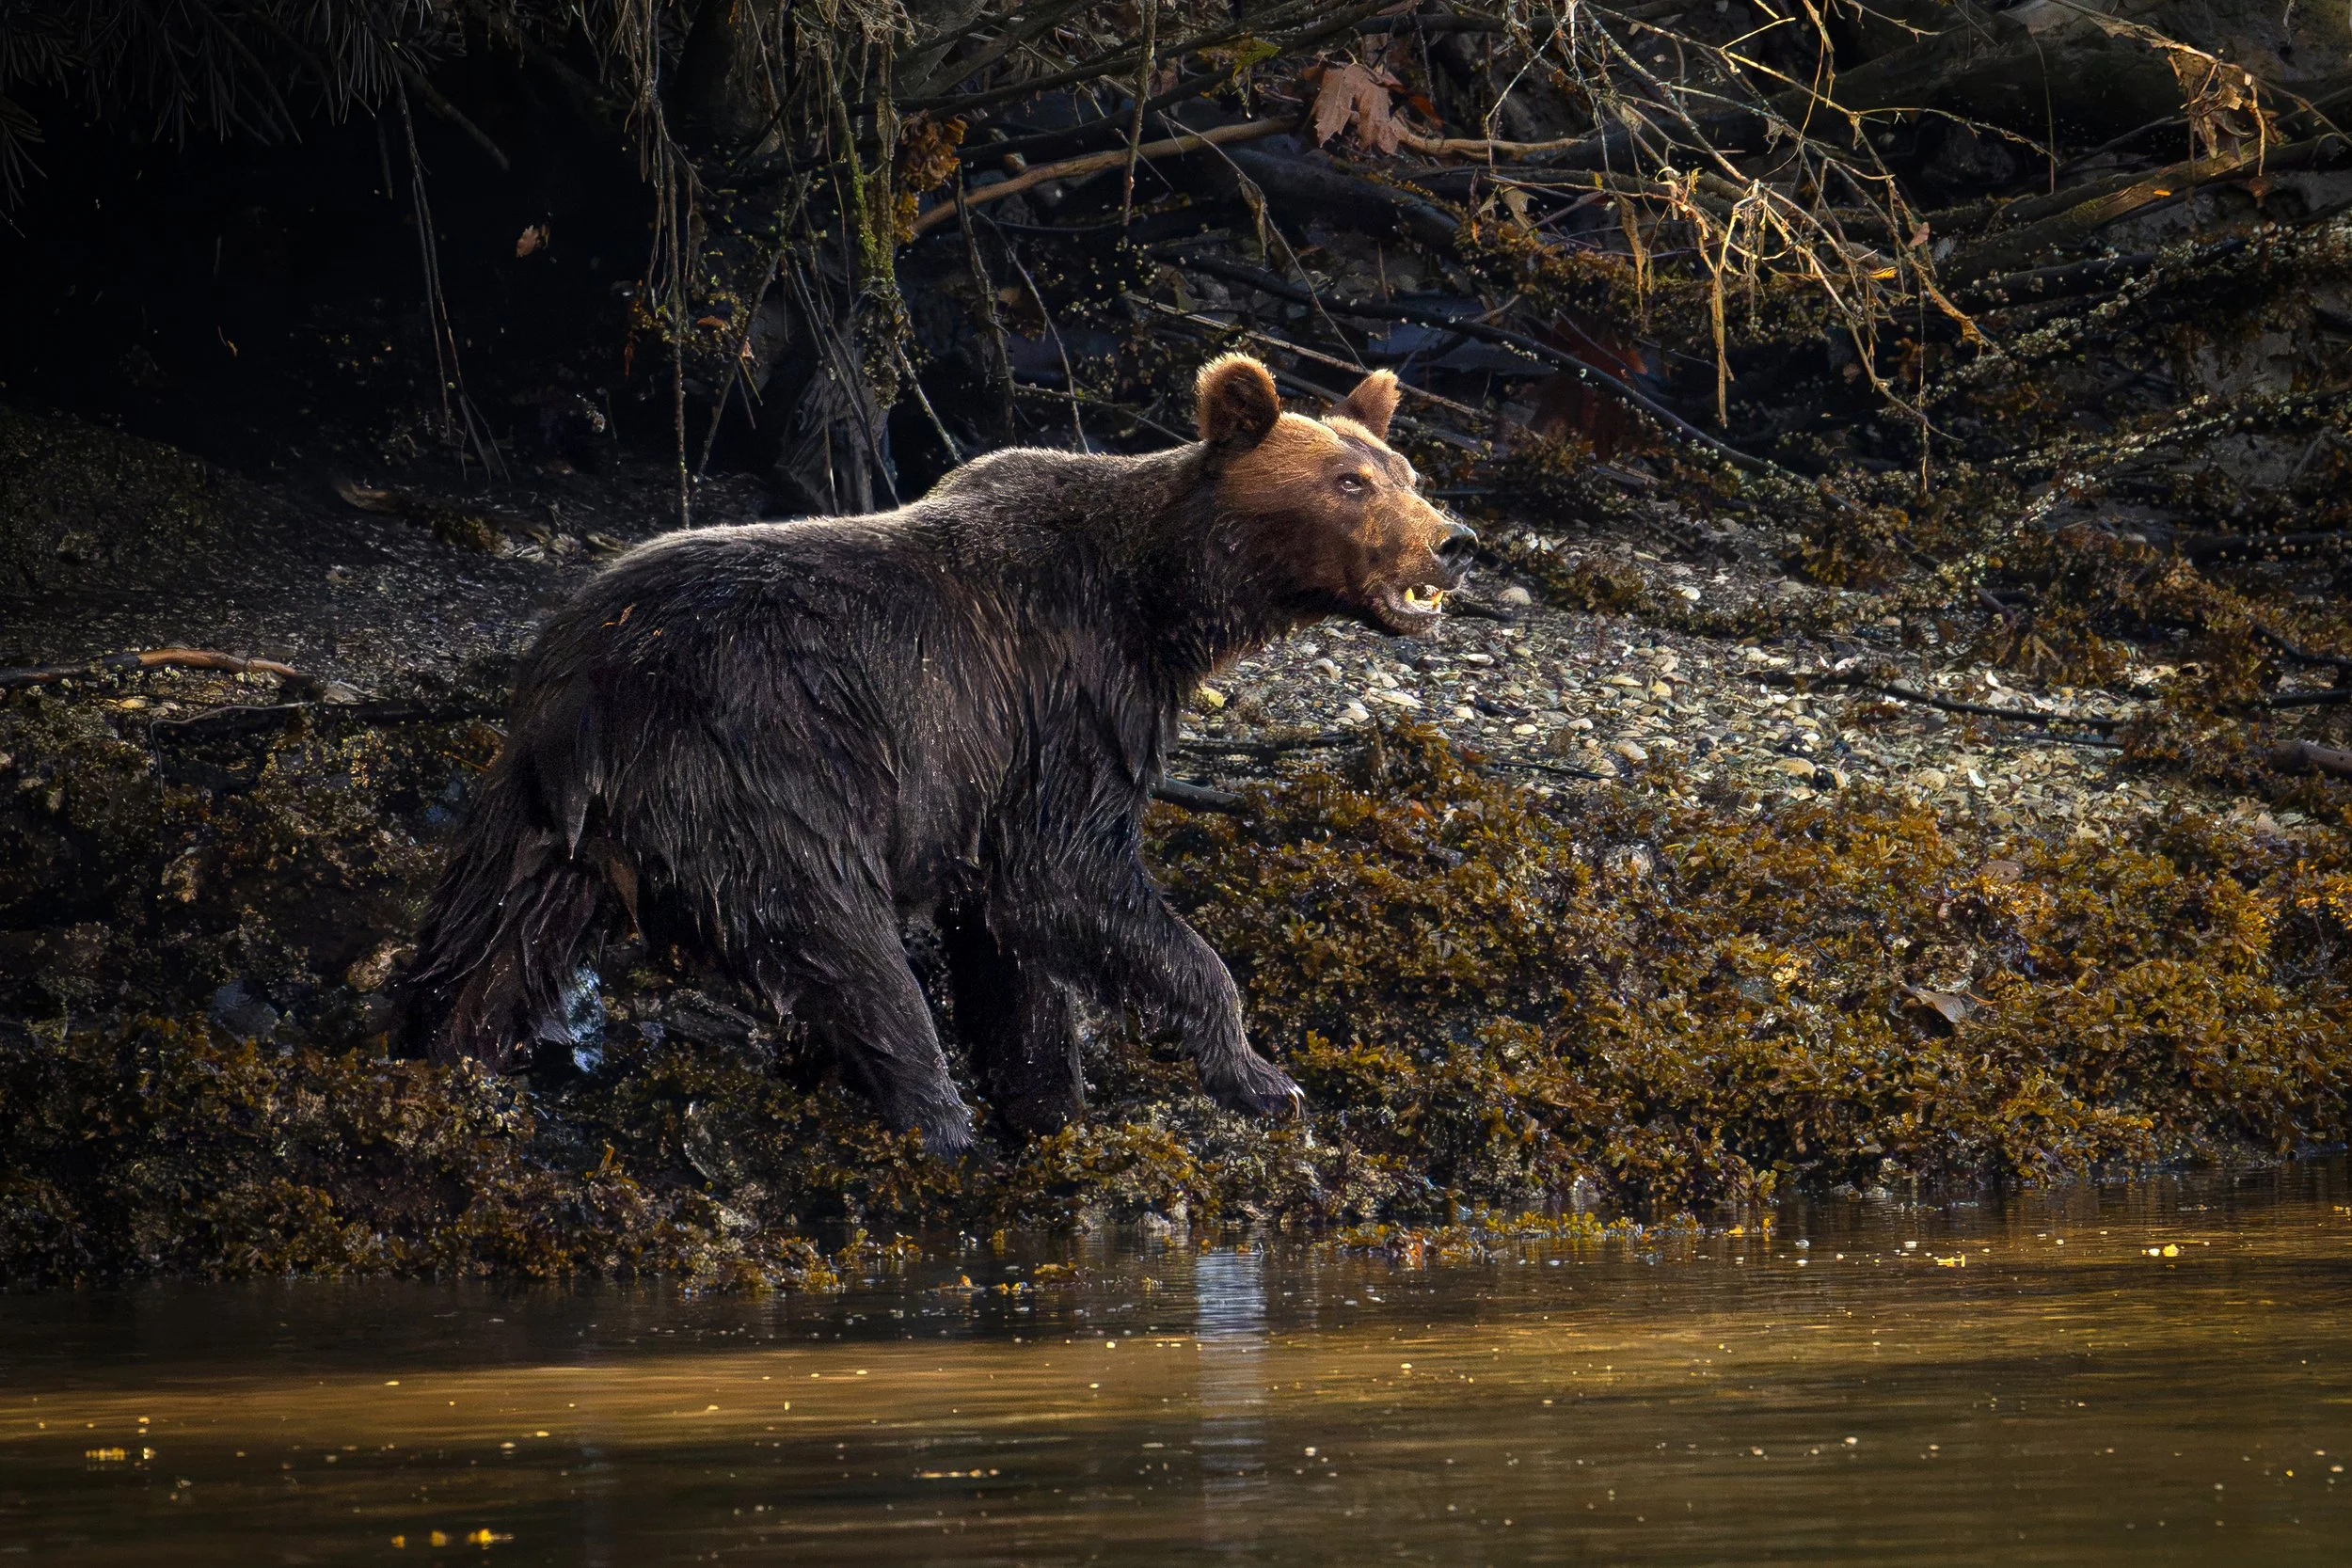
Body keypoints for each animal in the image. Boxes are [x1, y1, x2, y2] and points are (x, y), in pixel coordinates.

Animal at [393, 355, 1477, 1154]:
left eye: (1408, 474)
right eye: (1348, 482)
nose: (1455, 540)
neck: (1159, 603)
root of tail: (595, 699)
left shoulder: (990, 776)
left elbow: (1011, 947)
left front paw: (1050, 1106)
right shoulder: (1067, 703)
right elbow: (1069, 879)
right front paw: (1259, 1073)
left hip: (536, 807)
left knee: (484, 942)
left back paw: (435, 1062)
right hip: (764, 771)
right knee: (846, 945)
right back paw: (938, 1122)